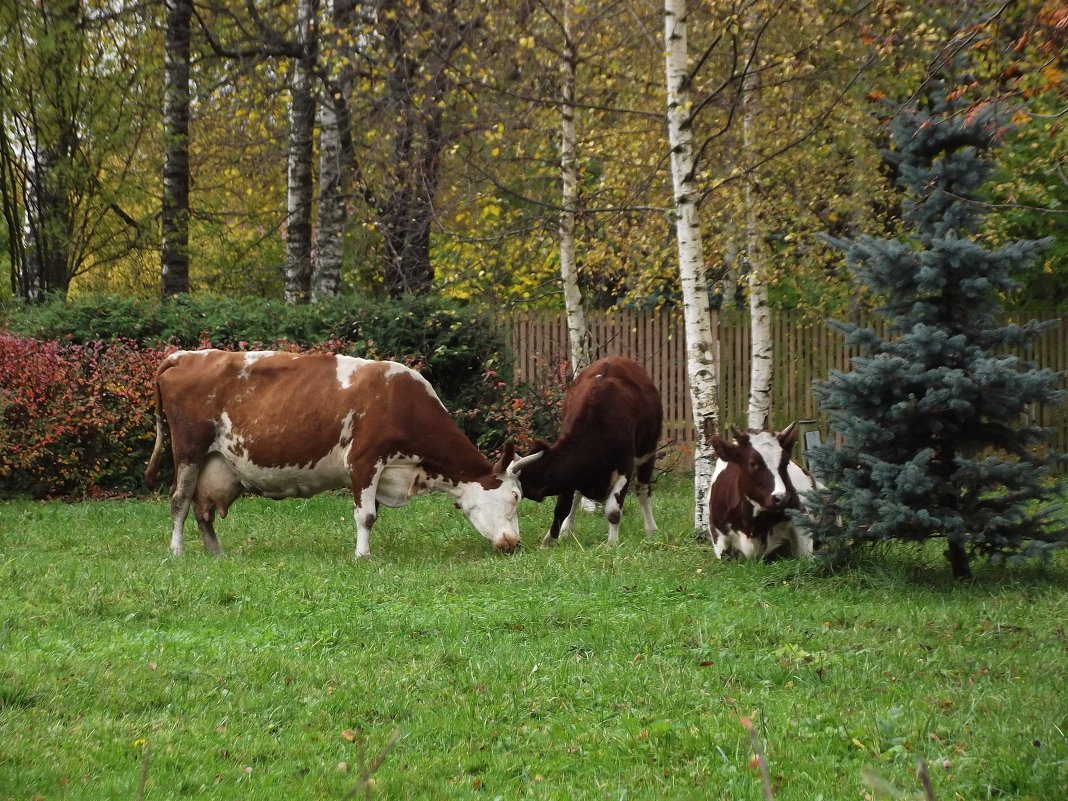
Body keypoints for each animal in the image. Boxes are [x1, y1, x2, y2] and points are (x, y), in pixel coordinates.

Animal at [144, 350, 527, 559]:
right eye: (515, 496)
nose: (514, 543)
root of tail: (184, 356)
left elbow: (371, 514)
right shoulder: (365, 461)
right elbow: (366, 516)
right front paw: (363, 555)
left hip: (215, 463)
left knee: (202, 508)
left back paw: (216, 553)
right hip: (189, 450)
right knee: (179, 500)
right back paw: (177, 550)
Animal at [512, 356, 662, 546]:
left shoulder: (625, 466)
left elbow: (613, 511)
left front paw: (612, 544)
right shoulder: (569, 475)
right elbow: (562, 507)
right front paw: (550, 540)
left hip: (648, 453)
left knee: (643, 490)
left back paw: (651, 529)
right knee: (577, 497)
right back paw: (567, 530)